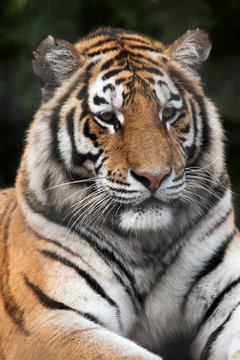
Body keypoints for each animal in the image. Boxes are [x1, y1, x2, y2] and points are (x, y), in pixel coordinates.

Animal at [0, 24, 240, 358]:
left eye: (169, 113)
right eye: (108, 118)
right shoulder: (48, 319)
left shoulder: (230, 294)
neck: (145, 243)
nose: (154, 177)